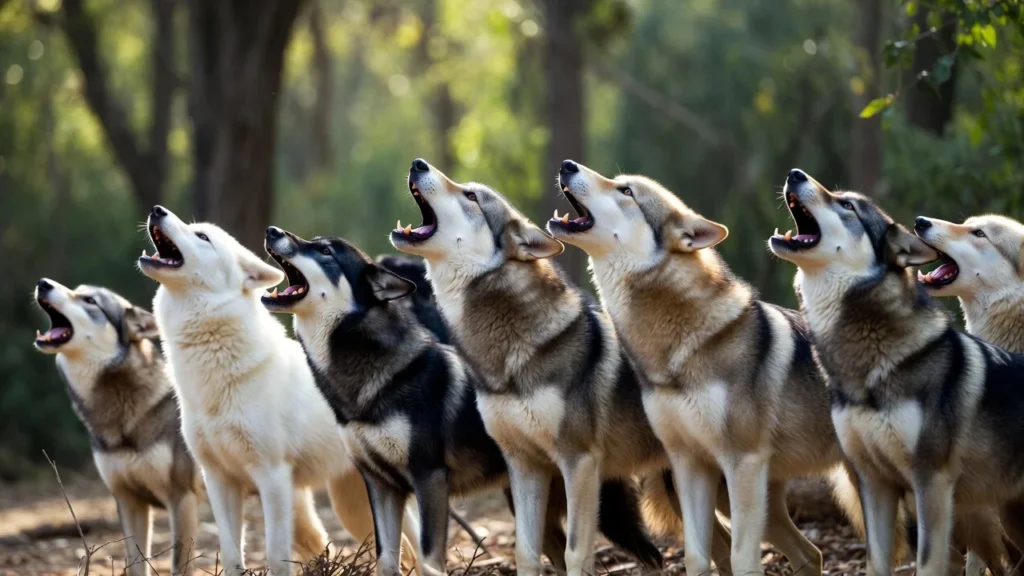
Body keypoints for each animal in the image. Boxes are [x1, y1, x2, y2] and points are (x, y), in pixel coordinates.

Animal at [33, 279, 202, 576]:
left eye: (90, 301)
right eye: (77, 291)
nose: (43, 283)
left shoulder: (183, 499)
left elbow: (179, 565)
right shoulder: (128, 502)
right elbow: (135, 564)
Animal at [136, 206, 420, 575]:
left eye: (202, 237)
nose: (157, 210)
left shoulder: (273, 478)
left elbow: (274, 554)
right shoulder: (219, 480)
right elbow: (232, 556)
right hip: (355, 506)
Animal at [390, 158, 733, 576]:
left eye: (470, 195)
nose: (417, 163)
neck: (507, 351)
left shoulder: (578, 462)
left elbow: (574, 553)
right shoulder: (523, 466)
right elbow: (525, 551)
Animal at [549, 160, 849, 576]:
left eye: (626, 191)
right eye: (619, 183)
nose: (567, 165)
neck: (675, 348)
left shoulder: (743, 463)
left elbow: (742, 558)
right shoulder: (689, 464)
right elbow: (695, 554)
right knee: (811, 553)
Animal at [769, 168, 1024, 576]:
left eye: (847, 205)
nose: (795, 173)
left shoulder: (930, 483)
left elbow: (929, 562)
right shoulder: (874, 482)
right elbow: (877, 561)